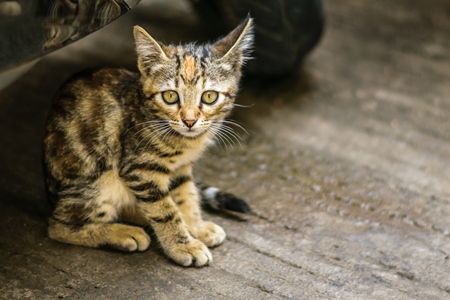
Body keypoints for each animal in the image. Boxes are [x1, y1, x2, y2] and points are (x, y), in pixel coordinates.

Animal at [44, 17, 255, 268]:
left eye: (209, 96)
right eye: (170, 96)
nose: (190, 121)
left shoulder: (181, 168)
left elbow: (185, 196)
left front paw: (196, 227)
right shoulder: (140, 169)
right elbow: (165, 210)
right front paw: (184, 246)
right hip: (99, 180)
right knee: (58, 226)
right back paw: (122, 233)